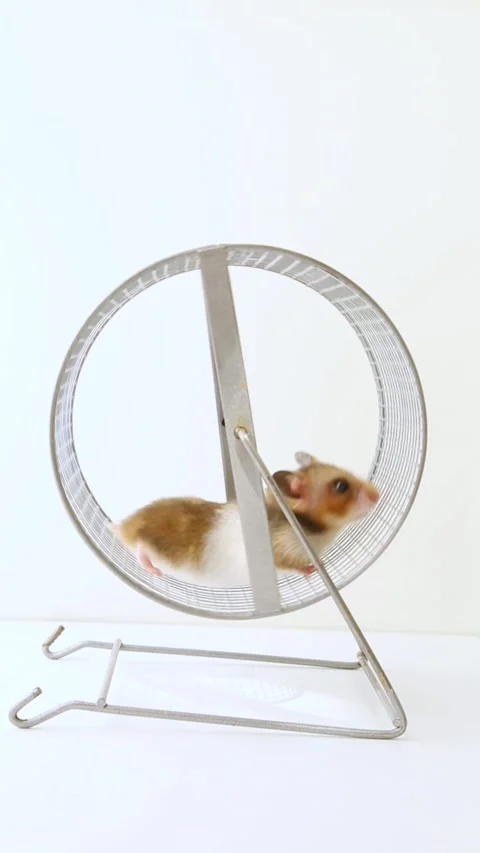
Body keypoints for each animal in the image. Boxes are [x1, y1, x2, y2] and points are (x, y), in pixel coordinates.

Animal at [111, 451, 379, 587]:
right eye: (340, 486)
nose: (378, 496)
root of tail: (123, 525)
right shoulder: (280, 552)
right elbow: (292, 566)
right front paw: (312, 569)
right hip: (155, 546)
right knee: (141, 548)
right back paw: (153, 571)